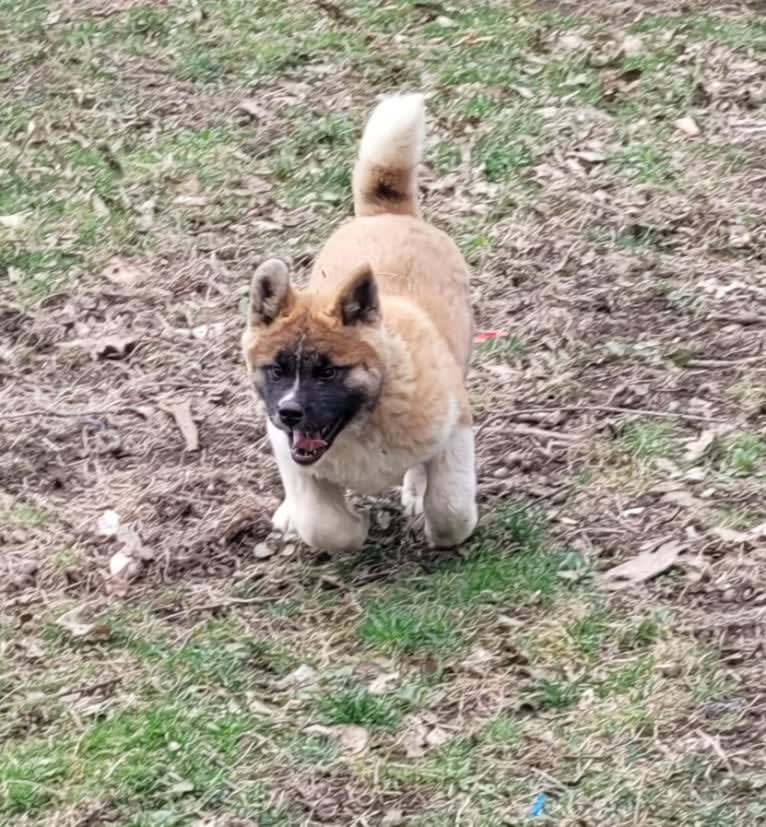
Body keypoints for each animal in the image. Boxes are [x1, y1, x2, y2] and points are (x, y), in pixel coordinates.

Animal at [243, 94, 476, 552]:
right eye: (277, 369)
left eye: (328, 371)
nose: (290, 412)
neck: (364, 419)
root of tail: (384, 212)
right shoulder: (292, 453)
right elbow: (322, 522)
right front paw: (350, 530)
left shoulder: (456, 425)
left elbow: (451, 508)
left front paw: (432, 520)